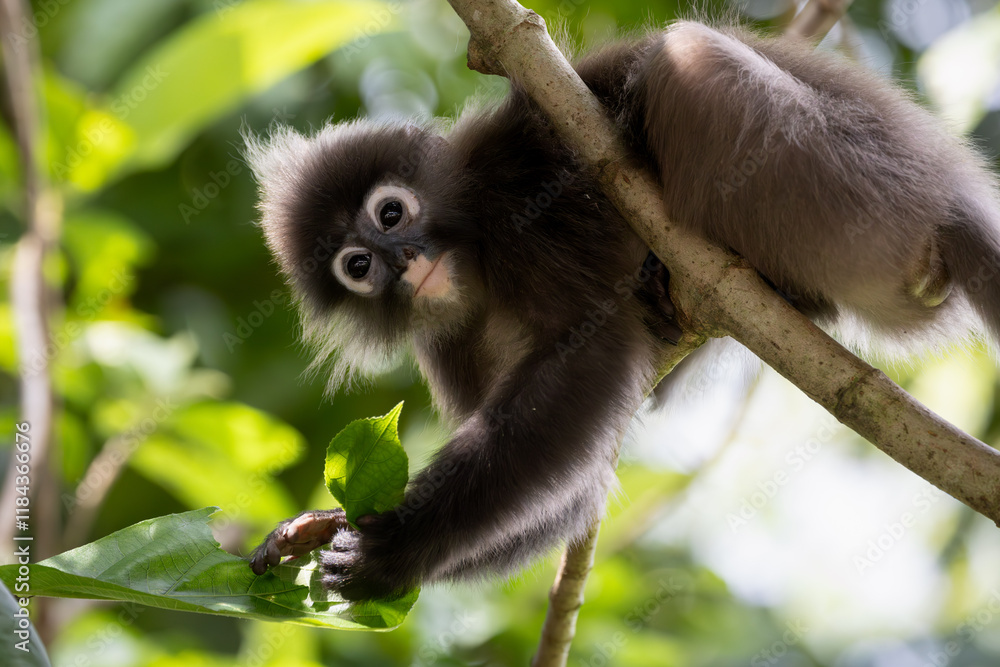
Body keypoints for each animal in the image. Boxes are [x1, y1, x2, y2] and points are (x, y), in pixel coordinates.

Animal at [243, 20, 1000, 600]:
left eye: (391, 213)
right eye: (358, 266)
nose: (400, 261)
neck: (476, 264)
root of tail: (945, 201)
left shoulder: (519, 217)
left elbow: (588, 360)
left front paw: (398, 545)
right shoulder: (447, 340)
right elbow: (579, 489)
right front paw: (318, 529)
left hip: (848, 183)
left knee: (685, 52)